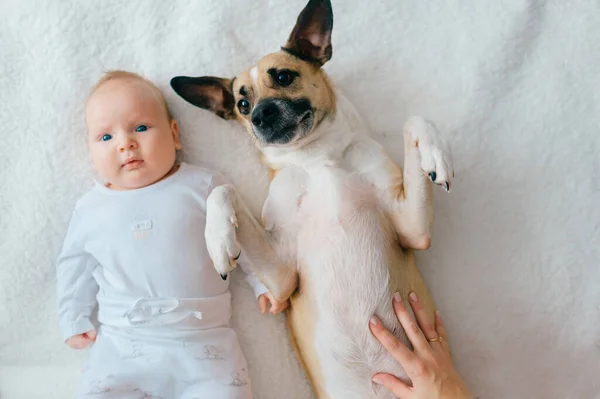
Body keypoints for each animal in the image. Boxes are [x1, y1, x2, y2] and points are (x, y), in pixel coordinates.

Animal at [171, 1, 452, 398]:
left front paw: (436, 152)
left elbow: (414, 119)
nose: (260, 115)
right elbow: (221, 190)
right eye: (242, 103)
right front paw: (218, 239)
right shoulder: (284, 278)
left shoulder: (414, 231)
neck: (317, 158)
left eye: (284, 76)